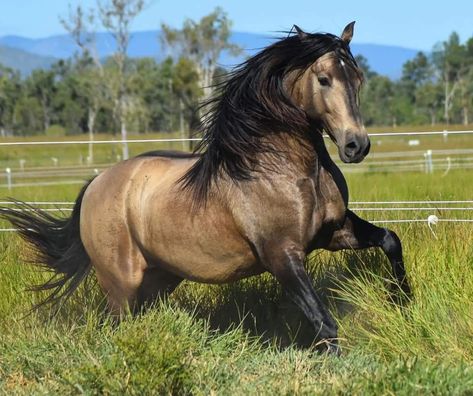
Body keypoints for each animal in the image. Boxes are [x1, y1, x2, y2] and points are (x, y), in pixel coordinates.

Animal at [1, 23, 410, 354]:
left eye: (358, 78)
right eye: (324, 79)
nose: (356, 145)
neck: (287, 170)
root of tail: (96, 184)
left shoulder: (334, 232)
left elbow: (390, 240)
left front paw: (402, 304)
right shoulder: (282, 254)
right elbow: (324, 322)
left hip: (159, 278)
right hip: (121, 282)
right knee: (116, 323)